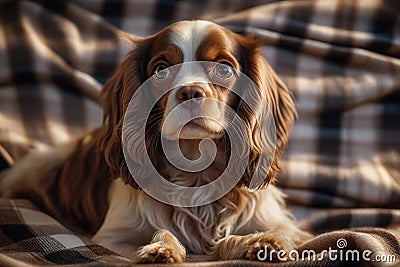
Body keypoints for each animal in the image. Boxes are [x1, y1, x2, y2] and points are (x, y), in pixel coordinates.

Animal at [0, 20, 312, 264]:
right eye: (161, 70)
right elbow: (160, 233)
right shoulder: (112, 238)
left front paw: (260, 243)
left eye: (223, 69)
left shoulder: (286, 226)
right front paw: (161, 248)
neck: (196, 171)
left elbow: (263, 236)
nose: (189, 92)